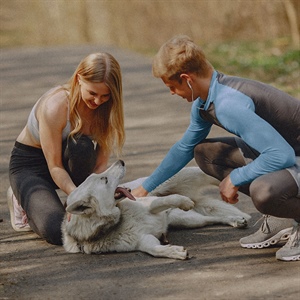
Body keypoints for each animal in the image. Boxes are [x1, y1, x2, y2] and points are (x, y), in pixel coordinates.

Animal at [62, 161, 250, 258]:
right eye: (105, 179)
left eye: (100, 176)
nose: (121, 161)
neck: (117, 221)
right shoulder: (144, 240)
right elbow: (154, 250)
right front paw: (174, 251)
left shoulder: (152, 204)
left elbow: (169, 199)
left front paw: (183, 201)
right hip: (188, 221)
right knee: (211, 219)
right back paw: (235, 220)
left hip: (183, 186)